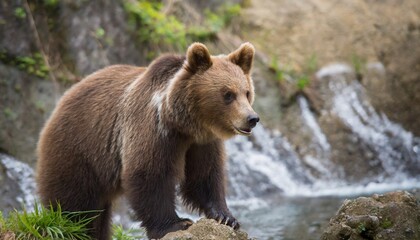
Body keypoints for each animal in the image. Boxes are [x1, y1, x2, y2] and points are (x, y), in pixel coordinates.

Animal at [37, 42, 260, 239]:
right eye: (228, 94)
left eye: (247, 92)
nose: (252, 118)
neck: (184, 124)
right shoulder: (153, 130)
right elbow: (150, 174)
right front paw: (176, 223)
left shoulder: (201, 143)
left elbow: (204, 176)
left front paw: (226, 217)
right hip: (79, 149)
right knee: (76, 205)